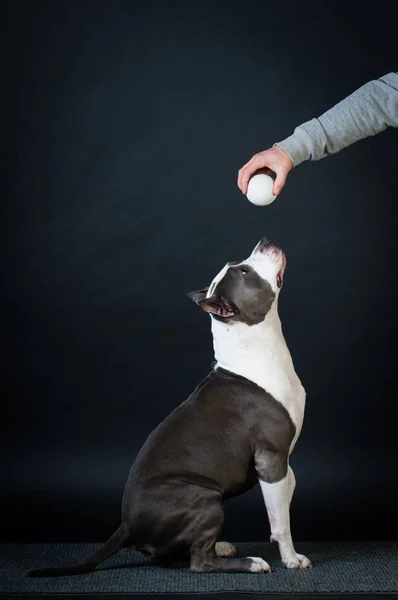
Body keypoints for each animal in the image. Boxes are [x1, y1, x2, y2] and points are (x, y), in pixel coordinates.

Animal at [29, 236, 312, 576]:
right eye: (244, 271)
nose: (265, 240)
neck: (254, 350)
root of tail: (126, 525)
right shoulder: (270, 459)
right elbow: (281, 520)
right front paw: (291, 557)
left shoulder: (282, 462)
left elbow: (285, 499)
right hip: (205, 498)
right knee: (199, 562)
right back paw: (249, 562)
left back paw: (221, 545)